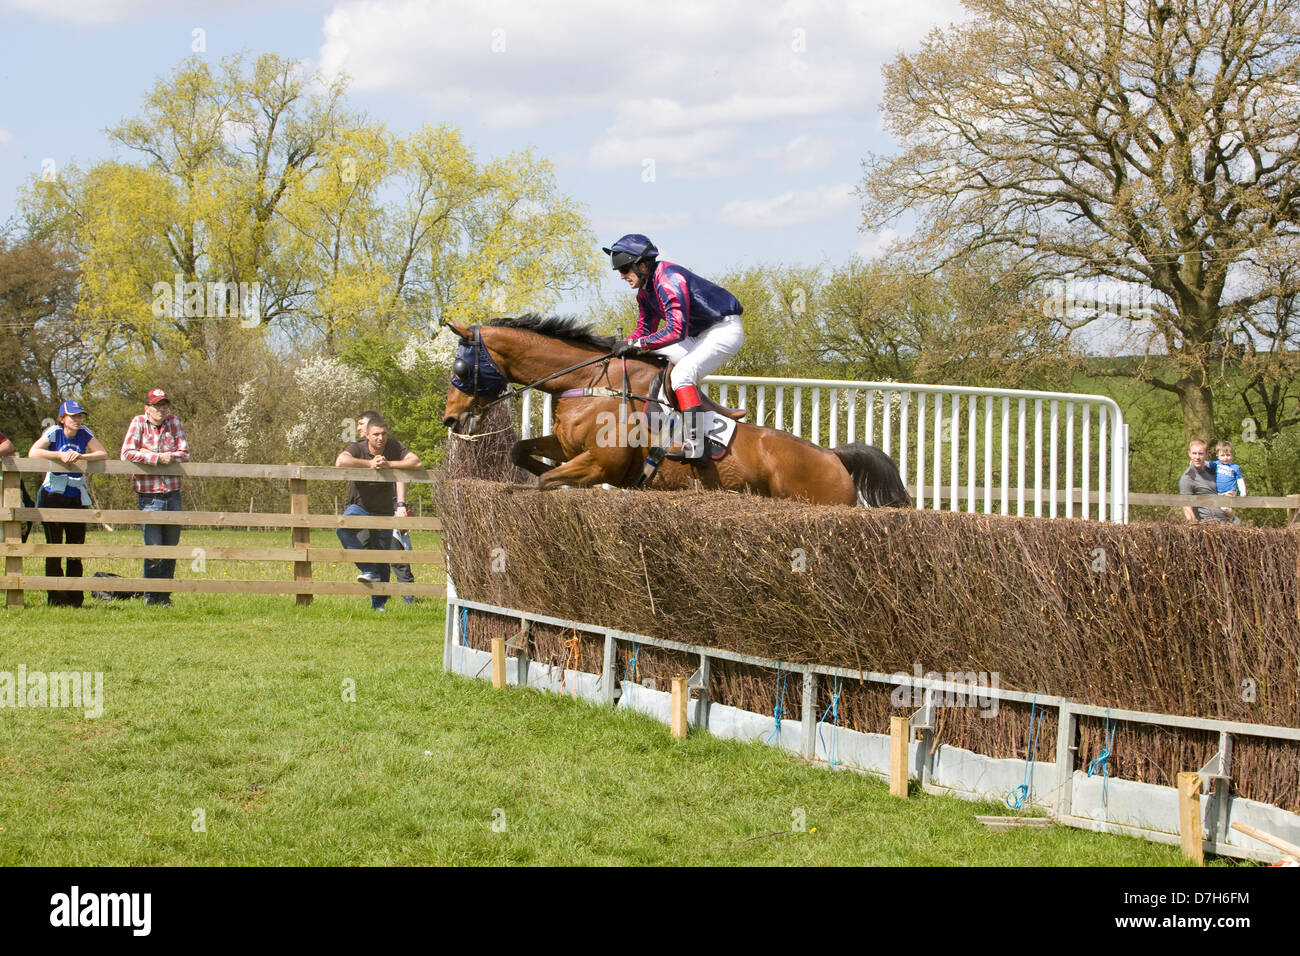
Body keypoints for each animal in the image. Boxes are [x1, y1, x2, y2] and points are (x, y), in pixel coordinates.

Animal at [441, 314, 912, 508]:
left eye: (460, 369)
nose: (450, 418)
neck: (589, 381)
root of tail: (834, 457)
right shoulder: (567, 444)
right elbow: (521, 451)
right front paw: (535, 471)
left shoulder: (599, 463)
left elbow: (549, 482)